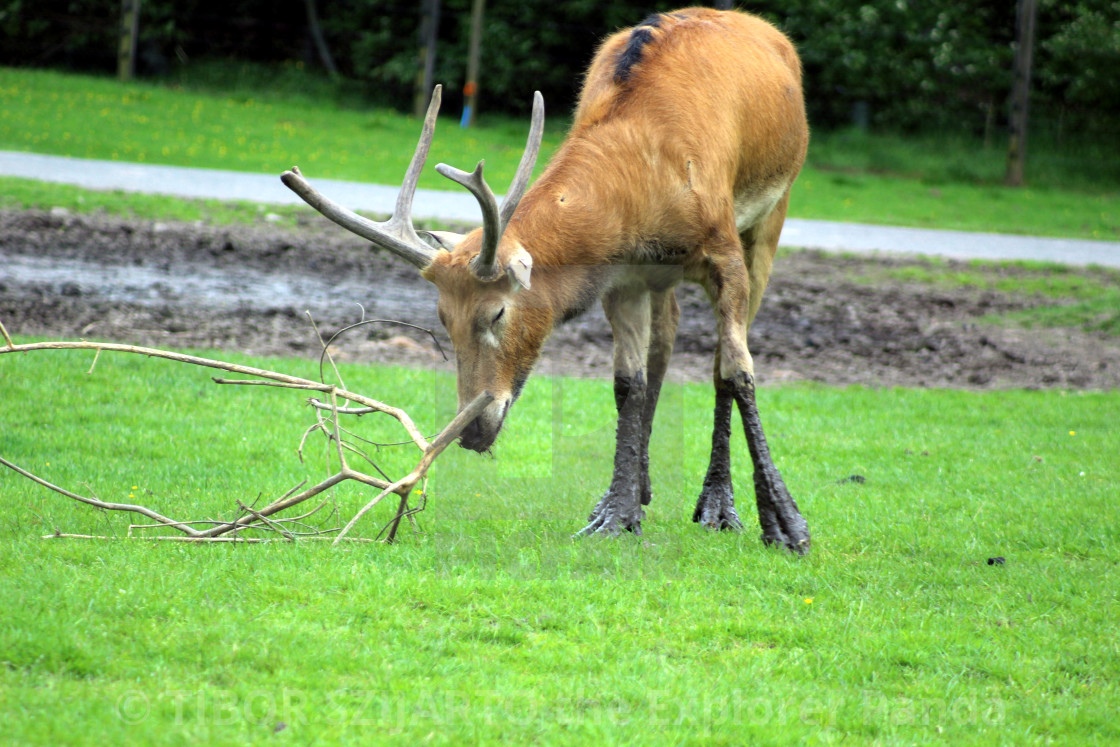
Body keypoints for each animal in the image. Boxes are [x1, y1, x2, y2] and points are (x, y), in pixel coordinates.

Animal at [278, 7, 806, 548]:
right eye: (442, 318)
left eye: (497, 312)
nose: (471, 432)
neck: (643, 190)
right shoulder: (623, 276)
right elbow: (627, 383)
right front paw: (614, 514)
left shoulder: (723, 251)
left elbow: (738, 372)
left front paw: (784, 525)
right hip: (664, 279)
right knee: (665, 341)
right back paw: (640, 490)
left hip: (773, 213)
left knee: (723, 356)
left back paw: (718, 504)